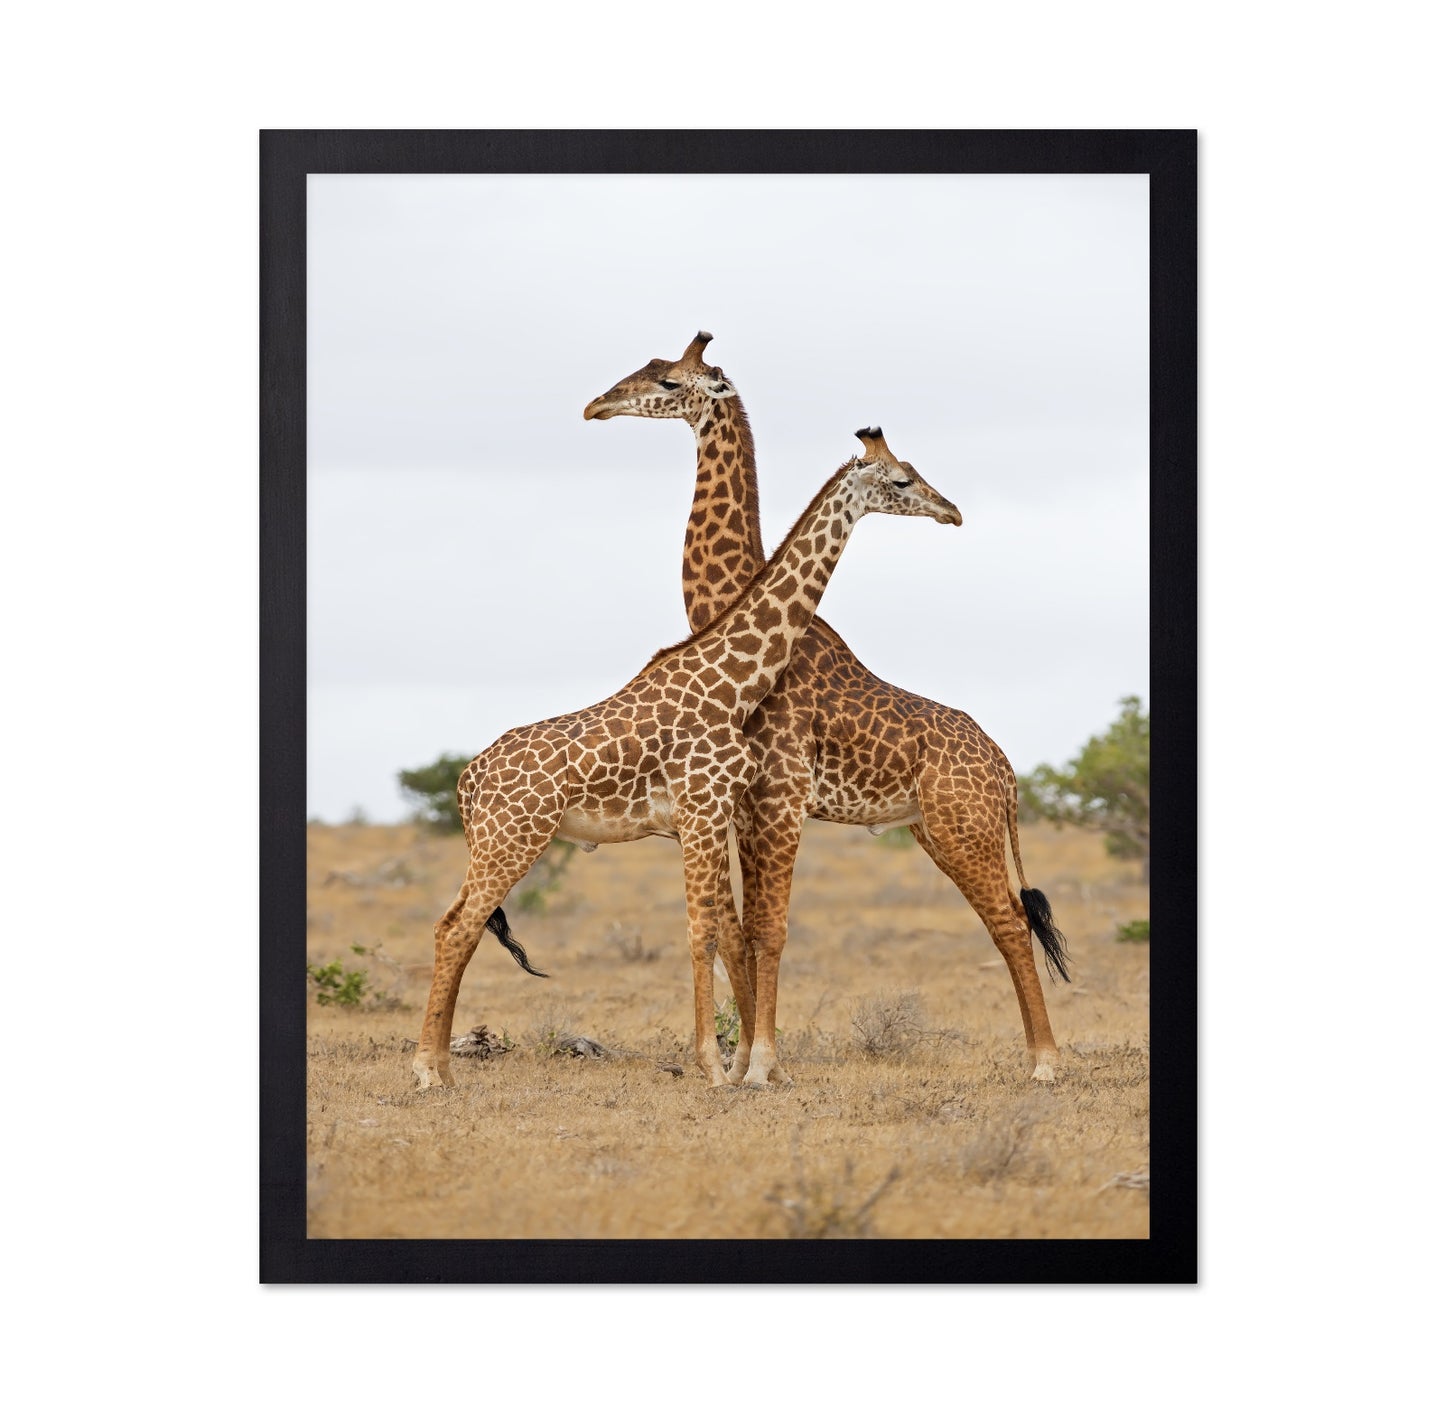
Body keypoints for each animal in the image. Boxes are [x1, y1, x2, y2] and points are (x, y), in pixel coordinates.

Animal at [412, 431, 961, 1090]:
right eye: (902, 480)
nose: (952, 512)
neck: (733, 685)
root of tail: (467, 780)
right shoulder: (701, 811)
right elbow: (703, 936)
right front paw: (715, 1070)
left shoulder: (706, 817)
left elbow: (719, 933)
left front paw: (726, 1065)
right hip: (512, 837)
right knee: (455, 927)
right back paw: (427, 1071)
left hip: (498, 841)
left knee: (458, 927)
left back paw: (442, 1067)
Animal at [584, 333, 1071, 1086]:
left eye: (667, 382)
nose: (596, 406)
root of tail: (1007, 771)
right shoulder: (741, 805)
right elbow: (738, 931)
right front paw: (742, 1061)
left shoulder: (778, 796)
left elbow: (766, 929)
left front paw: (758, 1064)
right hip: (935, 830)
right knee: (1003, 923)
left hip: (966, 828)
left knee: (1012, 924)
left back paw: (1045, 1063)